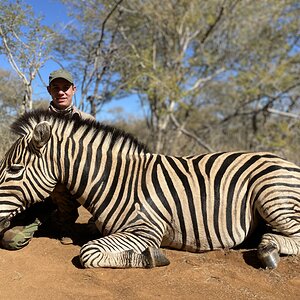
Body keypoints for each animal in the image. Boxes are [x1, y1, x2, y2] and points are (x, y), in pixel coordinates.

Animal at [0, 110, 298, 270]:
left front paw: (150, 257)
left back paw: (268, 251)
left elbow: (88, 252)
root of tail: (286, 161)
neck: (117, 181)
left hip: (271, 195)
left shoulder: (145, 230)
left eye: (14, 169)